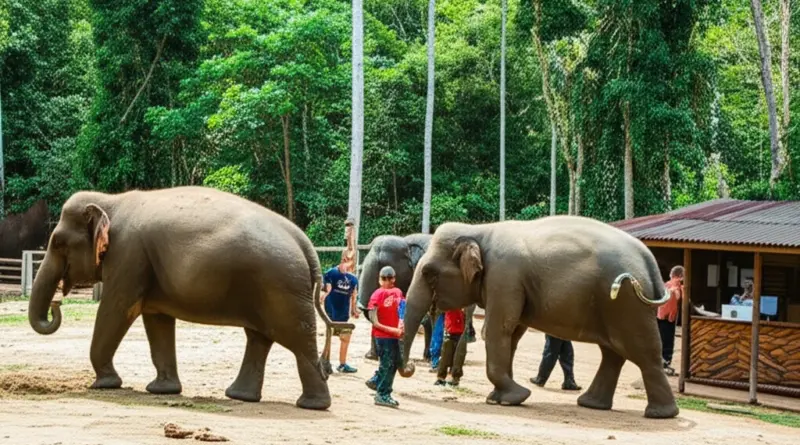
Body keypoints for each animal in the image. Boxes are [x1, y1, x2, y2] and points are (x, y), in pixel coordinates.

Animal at [28, 186, 331, 410]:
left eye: (58, 243)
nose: (56, 304)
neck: (111, 200)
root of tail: (304, 243)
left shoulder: (128, 256)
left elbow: (117, 310)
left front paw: (105, 384)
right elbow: (157, 321)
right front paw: (161, 390)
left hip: (282, 289)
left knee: (298, 340)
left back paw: (311, 405)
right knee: (259, 338)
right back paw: (240, 396)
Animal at [398, 216, 680, 419]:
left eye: (429, 273)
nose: (411, 368)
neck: (479, 230)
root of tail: (649, 260)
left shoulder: (504, 276)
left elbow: (498, 329)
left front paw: (511, 397)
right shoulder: (510, 283)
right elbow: (512, 334)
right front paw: (500, 397)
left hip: (626, 302)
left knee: (641, 352)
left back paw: (660, 414)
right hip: (616, 304)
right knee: (613, 353)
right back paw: (591, 404)